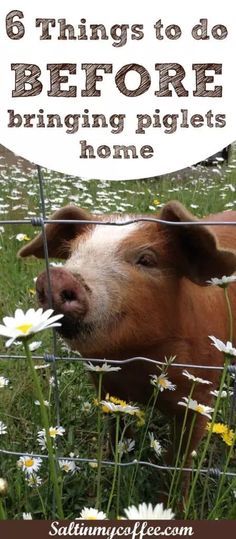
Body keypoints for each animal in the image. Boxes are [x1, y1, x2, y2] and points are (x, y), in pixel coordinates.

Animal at [18, 201, 236, 460]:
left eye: (147, 259)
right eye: (72, 253)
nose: (59, 276)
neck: (136, 358)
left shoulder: (201, 397)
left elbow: (179, 456)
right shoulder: (104, 385)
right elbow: (117, 428)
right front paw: (117, 457)